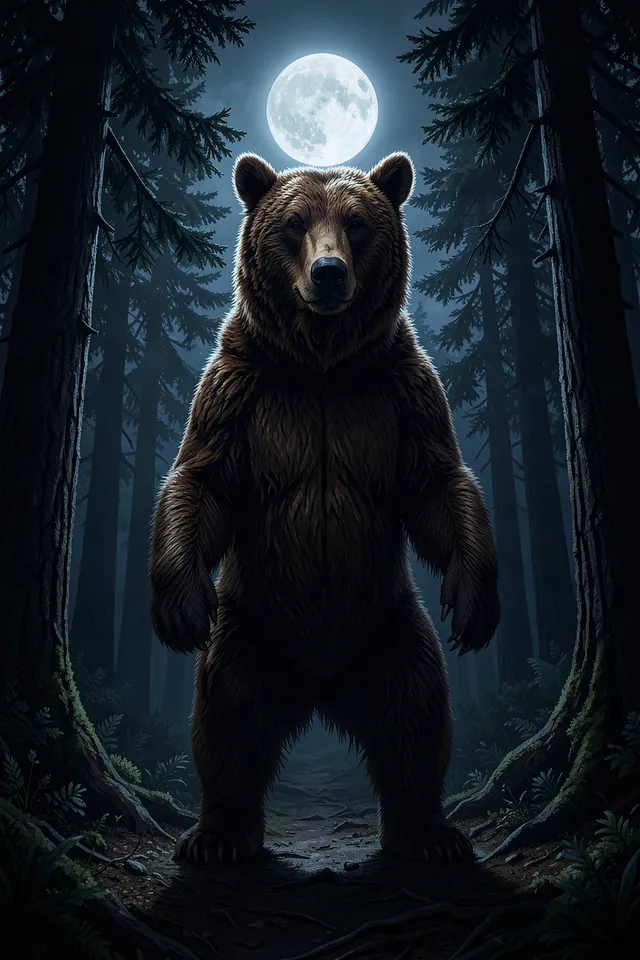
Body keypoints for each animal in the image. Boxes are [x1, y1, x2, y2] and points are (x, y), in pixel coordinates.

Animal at [149, 150, 500, 864]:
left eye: (358, 223)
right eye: (295, 224)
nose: (329, 272)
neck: (322, 366)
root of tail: (320, 684)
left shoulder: (401, 388)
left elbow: (437, 483)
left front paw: (475, 599)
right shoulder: (240, 386)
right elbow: (202, 478)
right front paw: (178, 605)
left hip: (391, 628)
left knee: (416, 710)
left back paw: (427, 829)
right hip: (248, 629)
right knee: (227, 717)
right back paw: (219, 831)